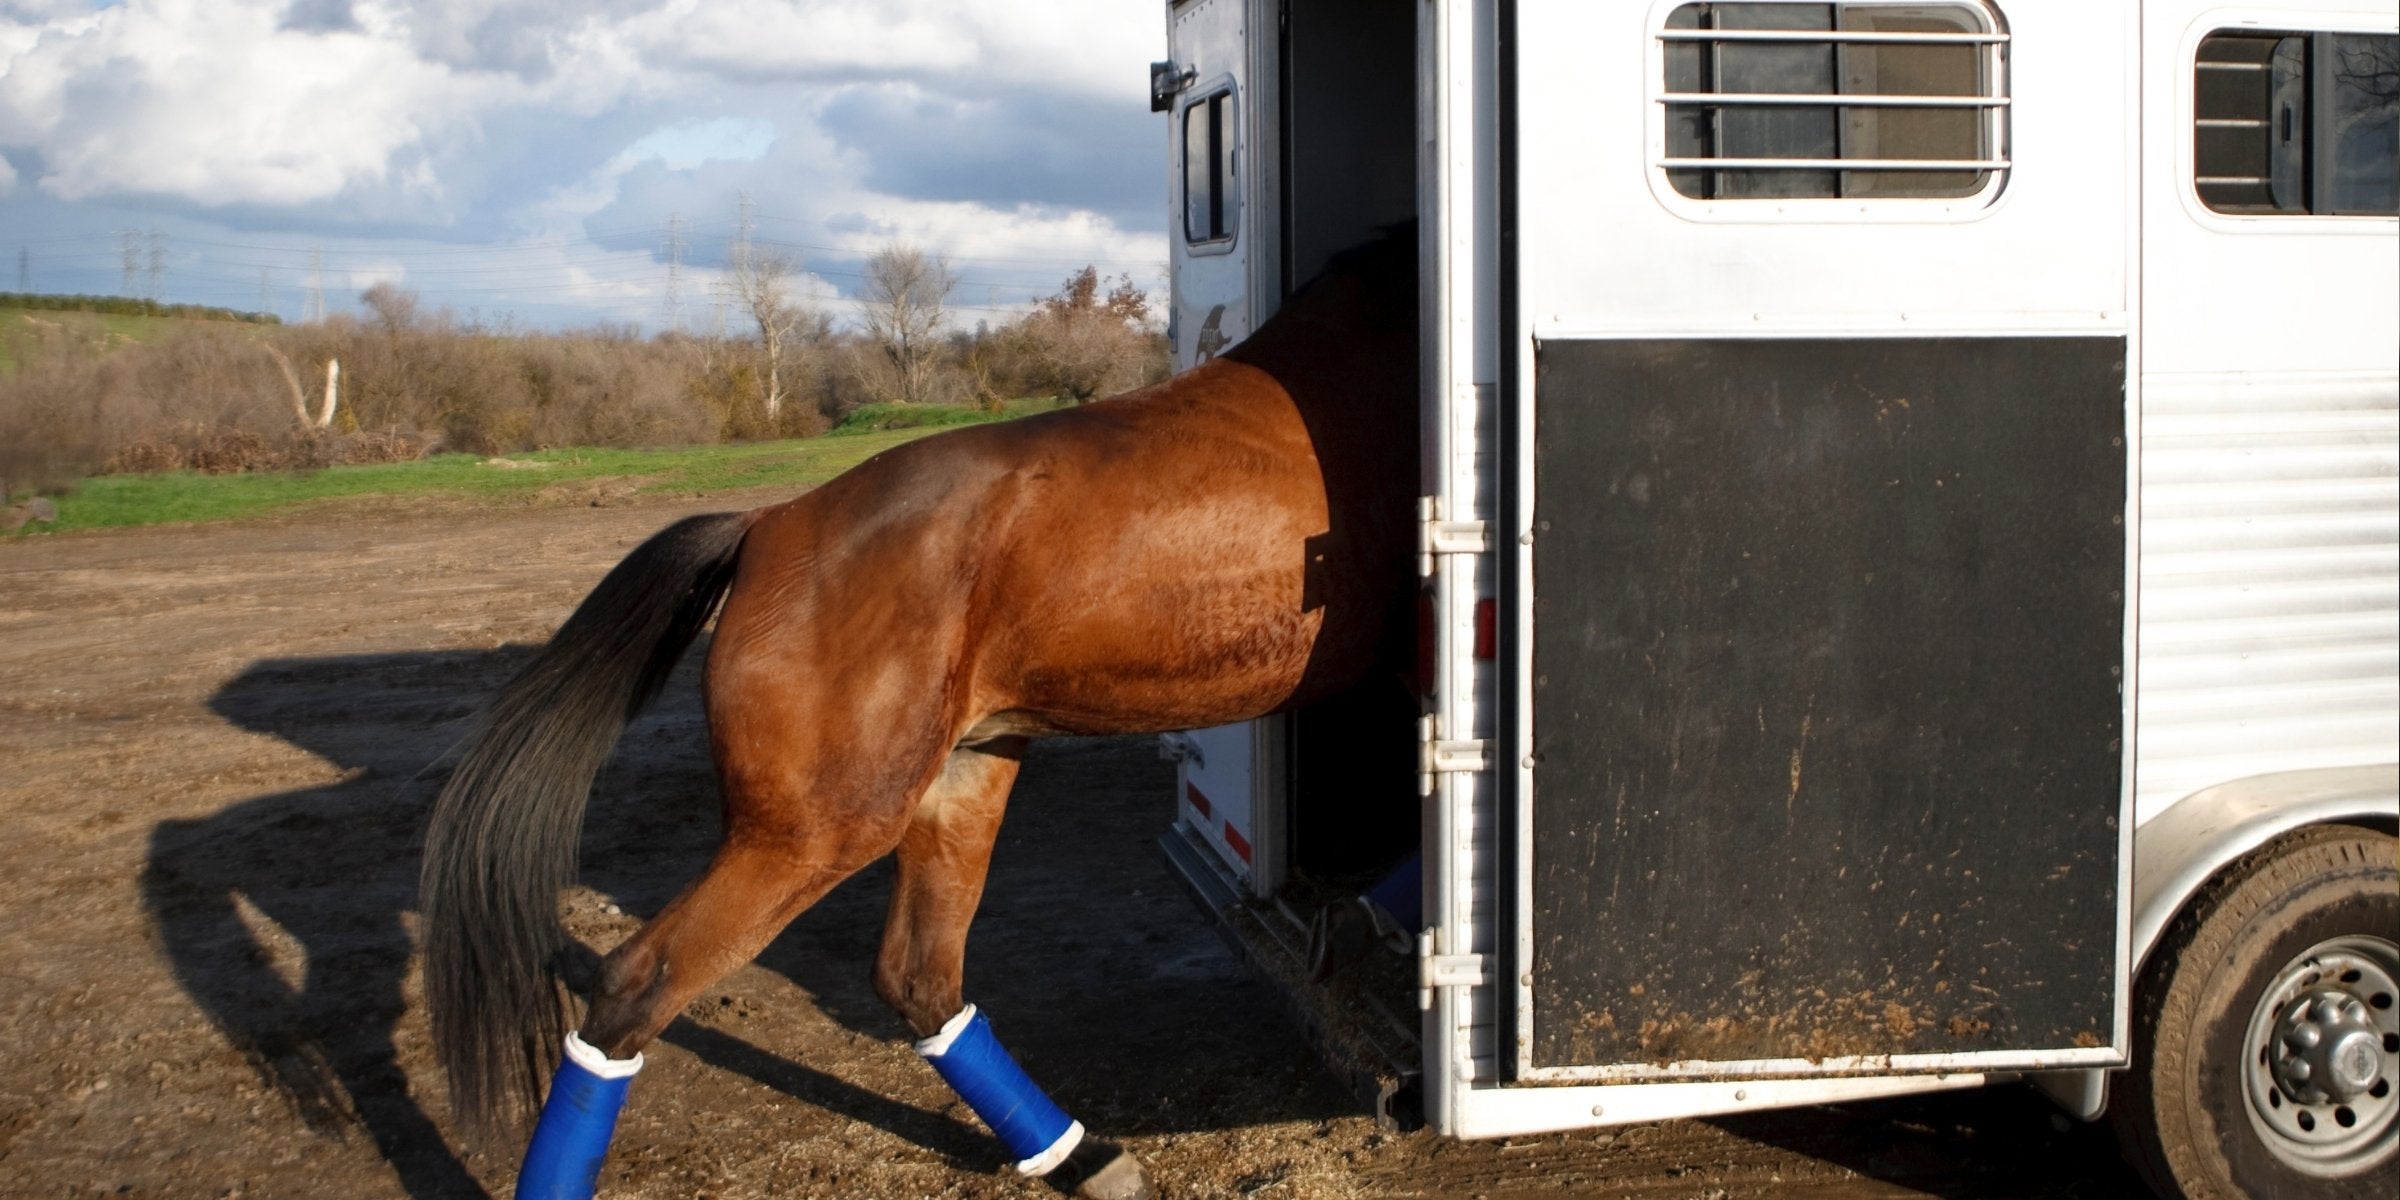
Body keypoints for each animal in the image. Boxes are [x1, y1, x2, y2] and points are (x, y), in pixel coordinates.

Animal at [420, 227, 1418, 1199]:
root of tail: (767, 526)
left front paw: (1358, 926)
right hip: (817, 830)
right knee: (638, 986)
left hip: (962, 776)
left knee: (917, 977)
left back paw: (1080, 1157)